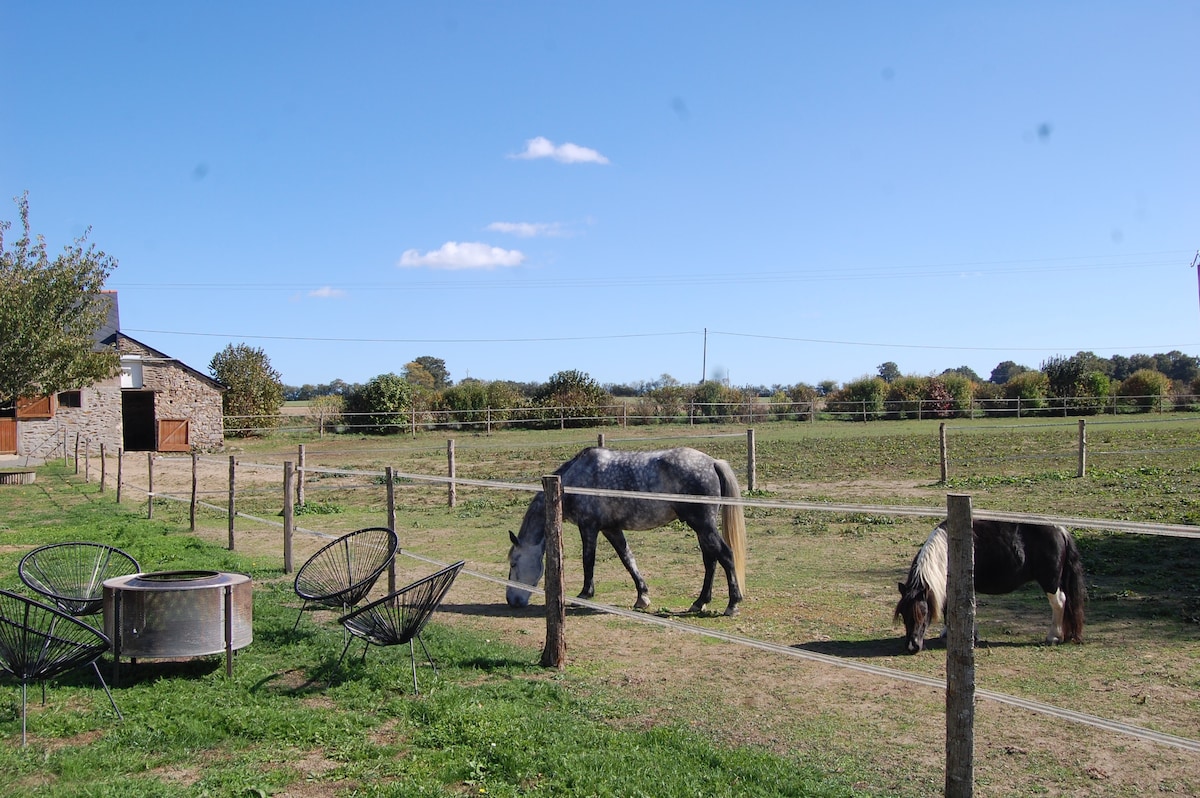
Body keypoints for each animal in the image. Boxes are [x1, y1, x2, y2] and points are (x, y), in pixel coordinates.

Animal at [501, 448, 744, 614]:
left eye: (513, 563)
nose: (511, 601)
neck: (571, 481)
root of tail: (713, 463)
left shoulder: (588, 527)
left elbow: (588, 560)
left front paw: (584, 594)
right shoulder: (611, 529)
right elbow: (628, 559)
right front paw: (642, 596)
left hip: (703, 525)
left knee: (725, 555)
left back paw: (732, 604)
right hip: (701, 528)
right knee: (710, 560)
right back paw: (700, 602)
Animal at [892, 516, 1089, 652]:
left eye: (924, 613)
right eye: (903, 614)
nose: (912, 647)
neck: (947, 552)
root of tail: (1060, 530)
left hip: (1050, 582)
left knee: (1059, 602)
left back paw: (1054, 637)